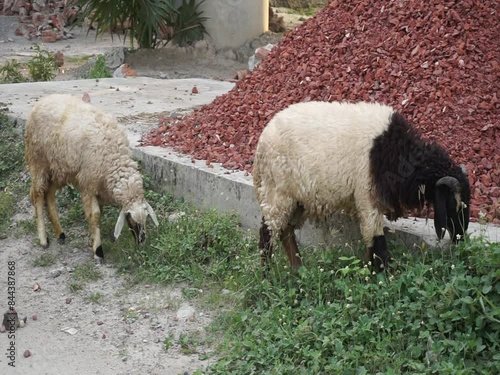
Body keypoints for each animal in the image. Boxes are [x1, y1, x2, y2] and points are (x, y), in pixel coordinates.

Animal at [24, 93, 158, 262]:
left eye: (147, 218)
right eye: (130, 219)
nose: (141, 242)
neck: (114, 159)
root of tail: (42, 101)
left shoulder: (98, 187)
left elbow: (98, 213)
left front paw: (92, 240)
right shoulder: (88, 185)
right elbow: (95, 215)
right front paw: (98, 250)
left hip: (59, 168)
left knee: (49, 194)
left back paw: (60, 233)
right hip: (39, 161)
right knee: (38, 195)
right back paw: (43, 238)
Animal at [252, 101, 470, 272]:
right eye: (454, 204)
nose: (461, 239)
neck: (398, 153)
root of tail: (262, 141)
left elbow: (370, 245)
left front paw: (369, 271)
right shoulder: (367, 198)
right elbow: (377, 241)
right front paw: (384, 277)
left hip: (297, 198)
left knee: (286, 231)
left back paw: (298, 269)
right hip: (277, 192)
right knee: (268, 232)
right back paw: (267, 275)